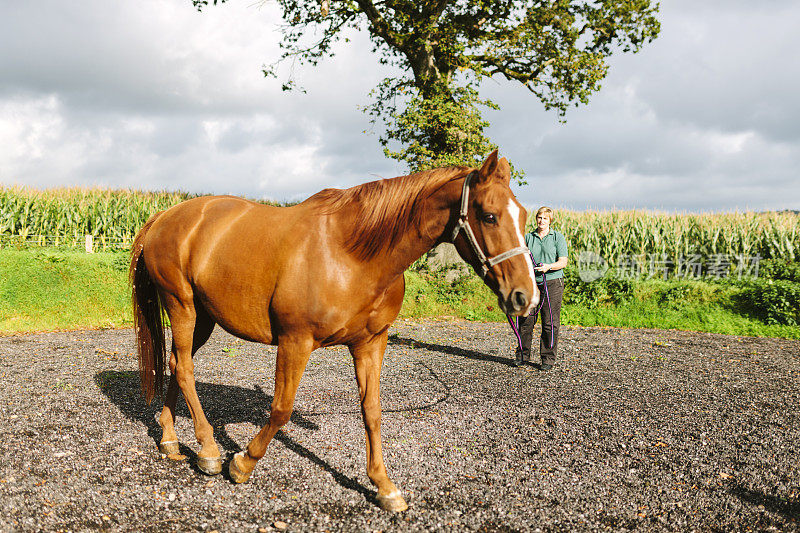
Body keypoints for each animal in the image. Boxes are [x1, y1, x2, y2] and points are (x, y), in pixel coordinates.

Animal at [131, 150, 536, 512]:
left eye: (524, 216)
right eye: (489, 216)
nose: (525, 296)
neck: (352, 253)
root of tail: (165, 215)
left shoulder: (371, 343)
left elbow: (372, 411)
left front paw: (384, 487)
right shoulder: (295, 341)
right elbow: (281, 409)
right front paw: (243, 463)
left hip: (203, 317)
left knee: (175, 363)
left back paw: (170, 440)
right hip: (181, 306)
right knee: (184, 367)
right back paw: (210, 451)